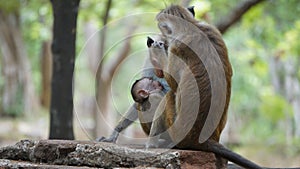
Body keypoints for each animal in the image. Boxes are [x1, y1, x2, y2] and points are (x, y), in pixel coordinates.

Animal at [147, 4, 262, 169]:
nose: (160, 39)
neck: (192, 25)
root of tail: (203, 140)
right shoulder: (212, 30)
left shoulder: (176, 46)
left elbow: (172, 82)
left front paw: (158, 49)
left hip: (176, 131)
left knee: (168, 97)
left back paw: (151, 144)